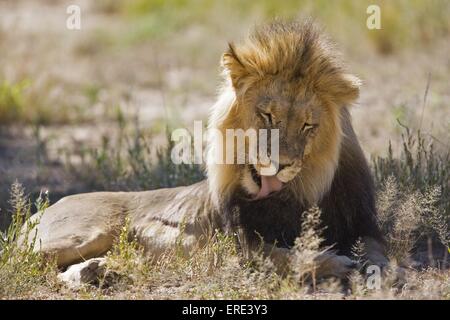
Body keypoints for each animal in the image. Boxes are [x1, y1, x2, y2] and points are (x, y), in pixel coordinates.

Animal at [21, 21, 386, 286]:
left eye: (309, 125)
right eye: (267, 115)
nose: (281, 164)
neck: (297, 192)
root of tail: (38, 212)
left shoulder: (364, 225)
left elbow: (378, 254)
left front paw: (372, 271)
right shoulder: (239, 243)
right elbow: (284, 256)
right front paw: (335, 263)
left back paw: (97, 271)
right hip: (84, 234)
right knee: (22, 261)